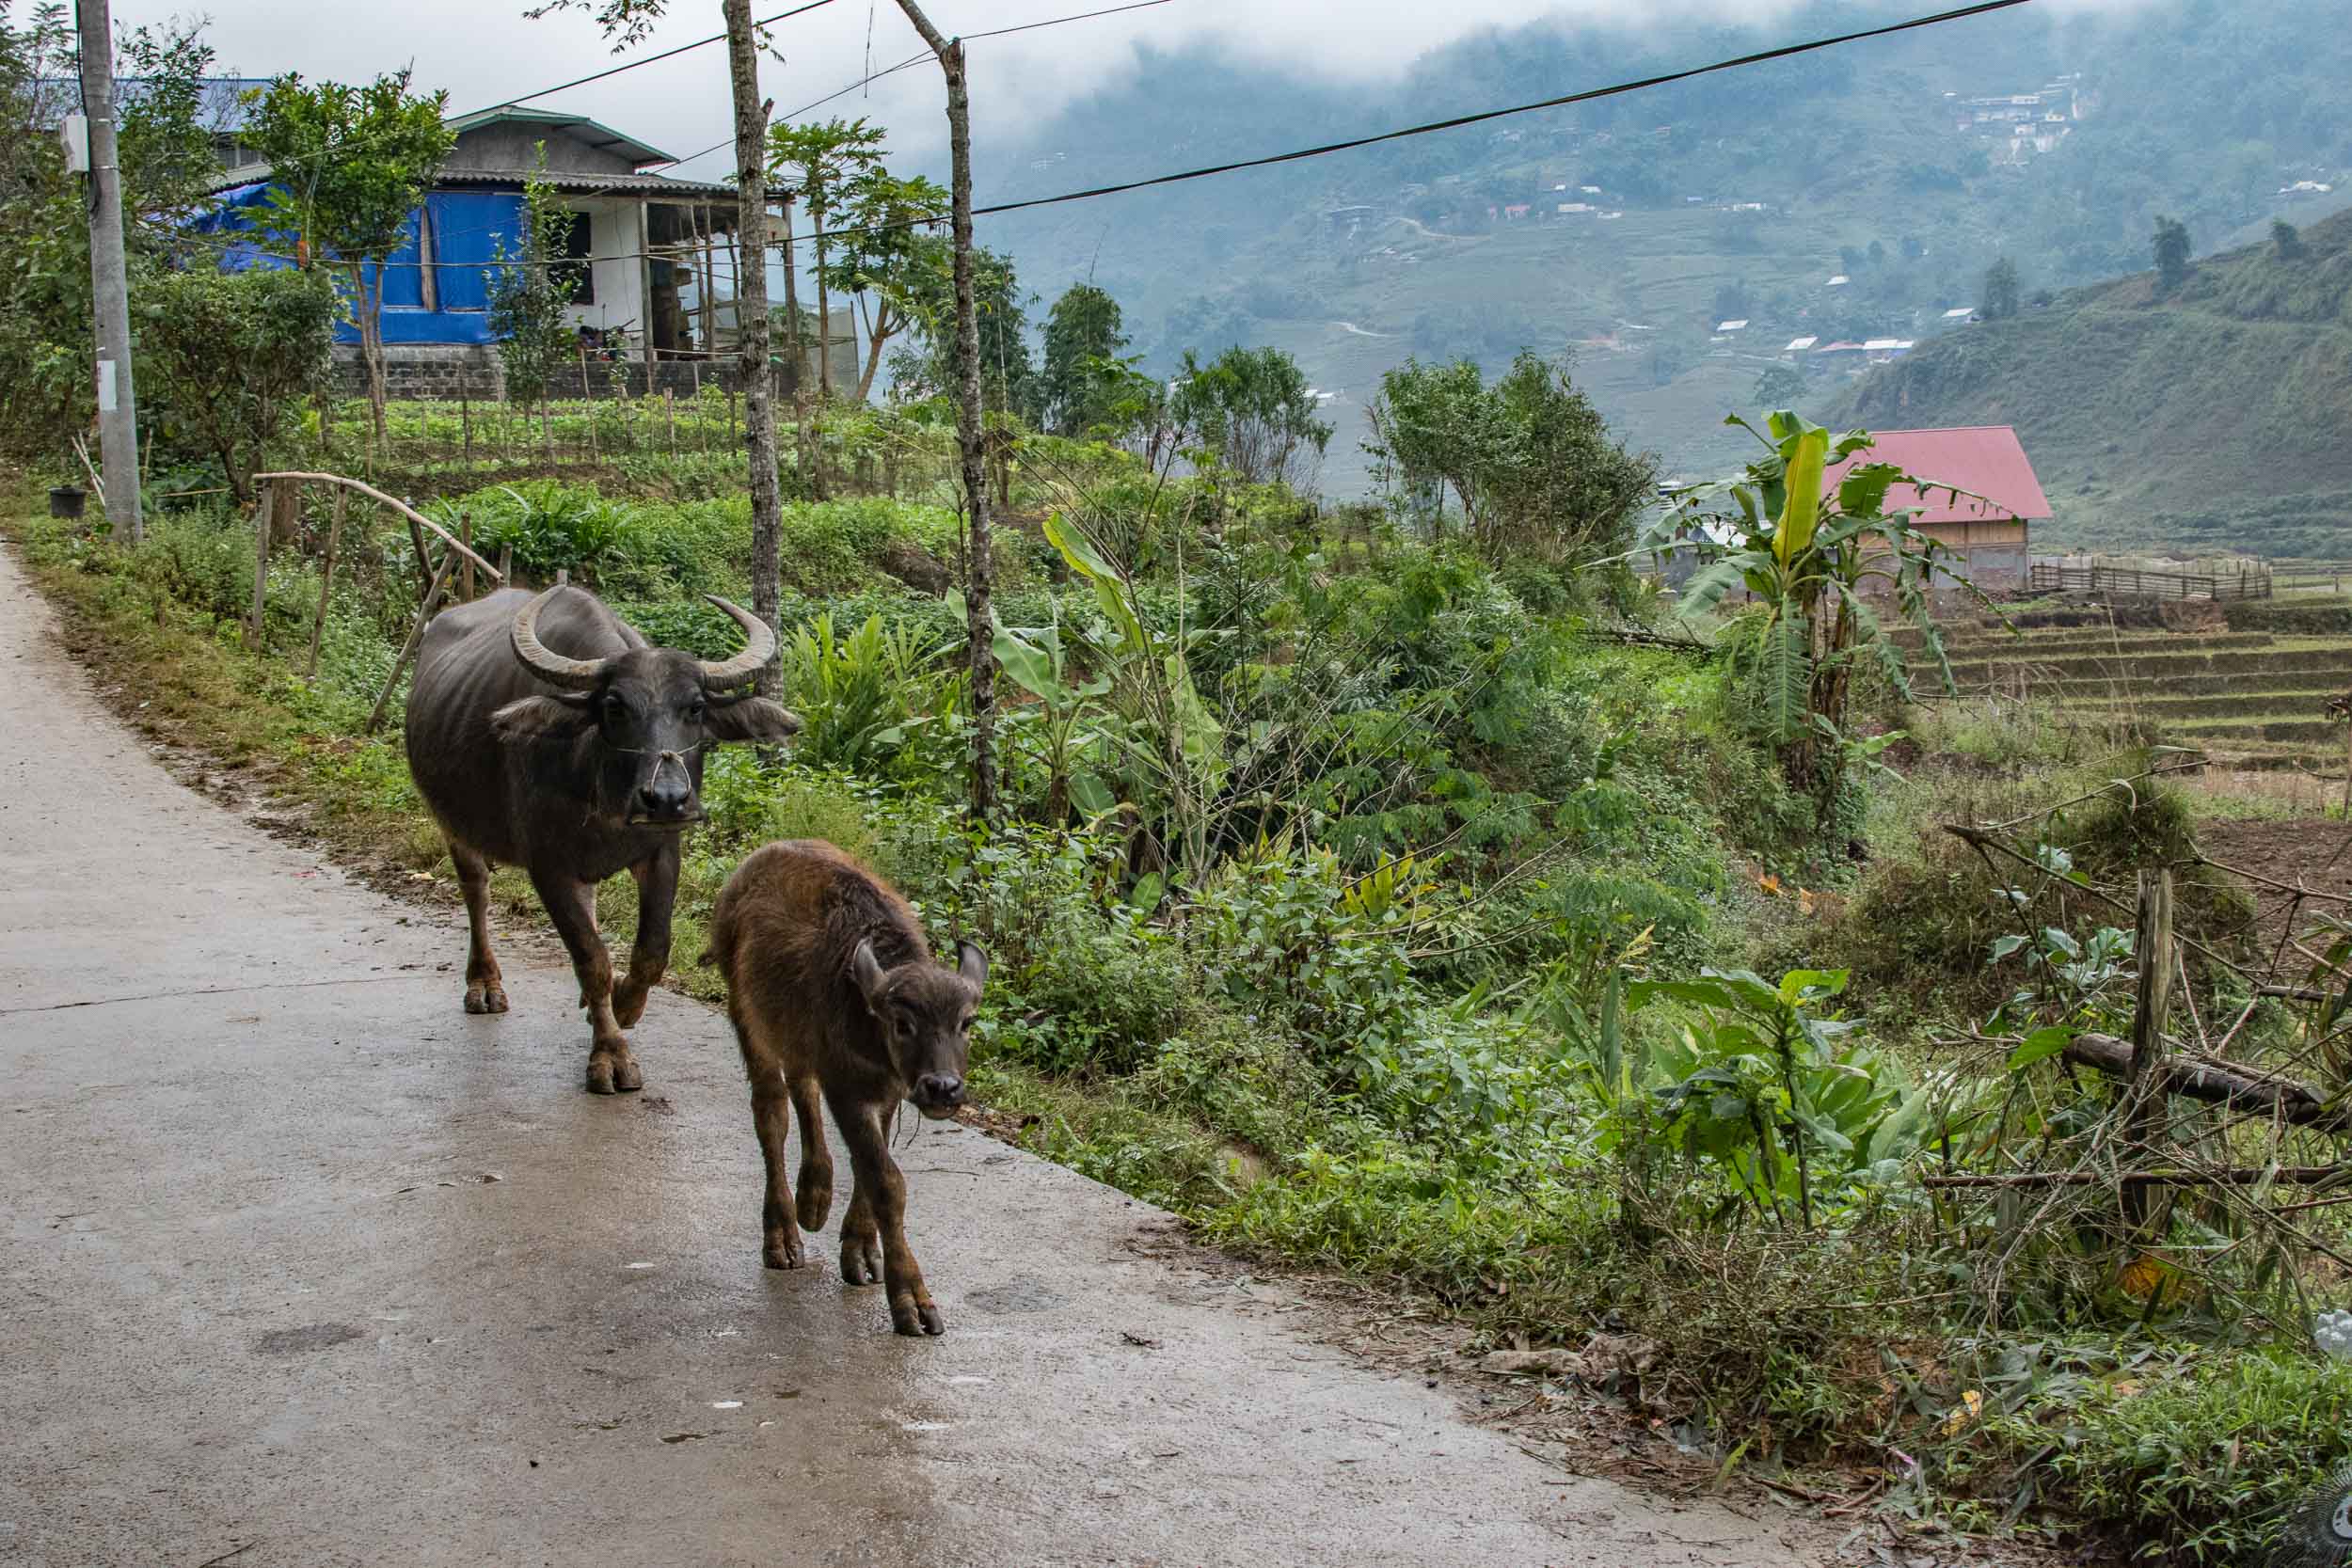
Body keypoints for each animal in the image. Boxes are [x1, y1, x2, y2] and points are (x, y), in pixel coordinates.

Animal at [405, 585, 800, 1090]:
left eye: (695, 708)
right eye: (614, 706)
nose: (666, 798)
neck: (598, 781)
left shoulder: (662, 852)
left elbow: (652, 951)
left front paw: (622, 1006)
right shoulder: (548, 866)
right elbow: (590, 957)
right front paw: (611, 1055)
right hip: (453, 822)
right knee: (476, 891)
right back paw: (484, 985)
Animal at [701, 841, 988, 1344]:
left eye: (965, 1022)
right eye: (902, 1024)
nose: (942, 1088)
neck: (863, 1015)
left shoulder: (887, 1089)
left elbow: (868, 1167)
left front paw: (860, 1249)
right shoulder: (846, 1089)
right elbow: (885, 1180)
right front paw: (911, 1300)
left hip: (796, 1038)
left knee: (802, 1088)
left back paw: (815, 1193)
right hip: (749, 1020)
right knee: (772, 1114)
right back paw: (782, 1234)